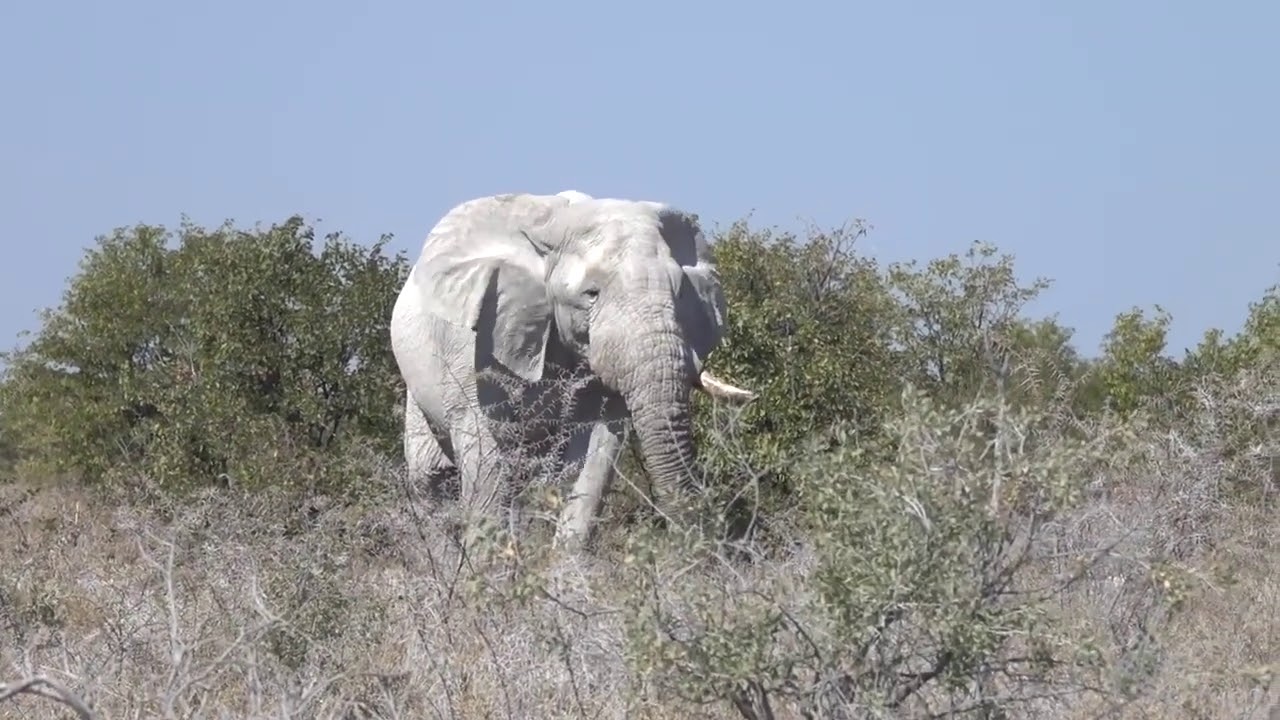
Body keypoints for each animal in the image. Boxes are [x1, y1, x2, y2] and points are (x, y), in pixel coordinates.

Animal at [388, 190, 756, 550]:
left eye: (679, 293)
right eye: (591, 294)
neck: (555, 226)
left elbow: (595, 453)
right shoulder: (475, 345)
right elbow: (485, 451)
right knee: (431, 479)